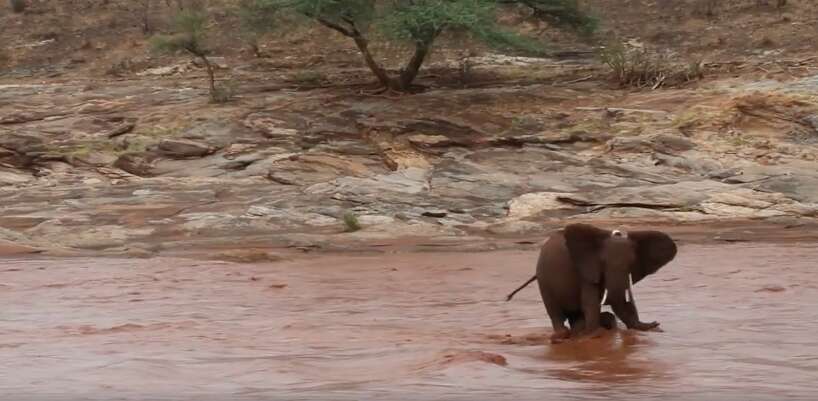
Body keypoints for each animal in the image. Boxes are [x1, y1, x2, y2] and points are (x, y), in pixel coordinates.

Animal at [504, 222, 676, 340]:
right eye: (603, 262)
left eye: (632, 263)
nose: (656, 323)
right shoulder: (585, 268)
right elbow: (590, 301)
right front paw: (590, 335)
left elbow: (624, 301)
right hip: (544, 280)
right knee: (554, 310)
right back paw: (563, 335)